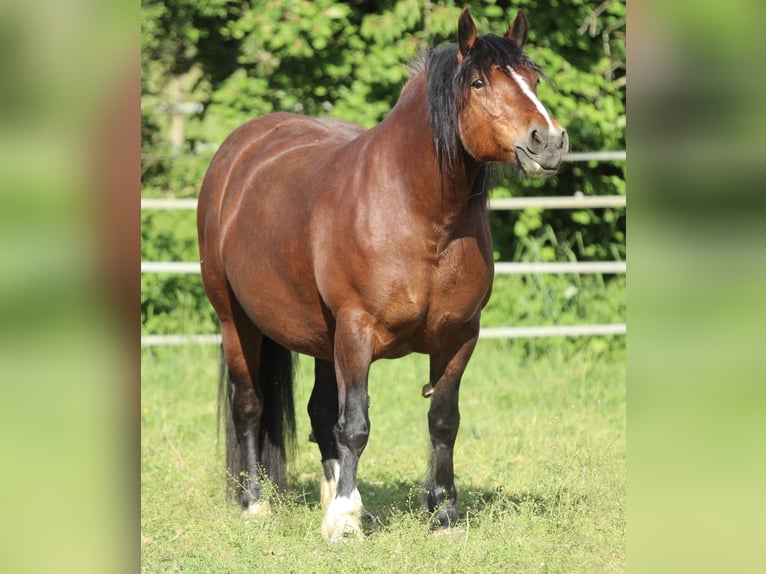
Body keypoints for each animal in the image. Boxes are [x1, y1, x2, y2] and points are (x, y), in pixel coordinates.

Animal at [197, 7, 567, 542]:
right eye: (479, 82)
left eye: (533, 79)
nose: (549, 141)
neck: (418, 216)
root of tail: (237, 151)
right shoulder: (357, 331)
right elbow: (355, 426)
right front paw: (344, 523)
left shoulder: (460, 337)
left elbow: (442, 421)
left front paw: (443, 514)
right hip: (237, 321)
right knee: (249, 404)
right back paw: (256, 503)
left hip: (321, 337)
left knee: (319, 412)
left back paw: (339, 498)